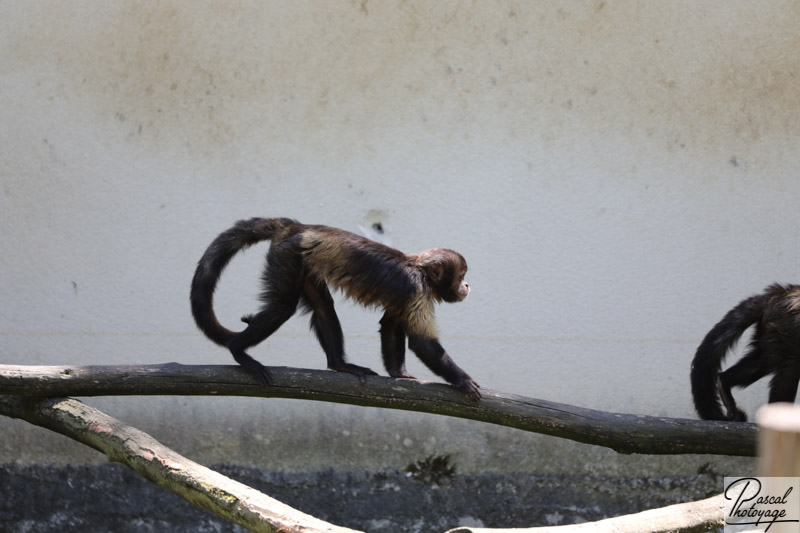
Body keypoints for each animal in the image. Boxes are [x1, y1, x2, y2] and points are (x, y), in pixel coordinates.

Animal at [192, 216, 482, 400]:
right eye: (461, 275)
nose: (467, 285)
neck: (420, 270)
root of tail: (297, 227)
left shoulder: (409, 296)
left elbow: (390, 324)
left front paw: (398, 373)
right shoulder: (417, 291)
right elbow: (423, 344)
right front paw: (463, 380)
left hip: (302, 260)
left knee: (323, 307)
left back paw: (339, 364)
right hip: (287, 254)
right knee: (283, 308)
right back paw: (238, 350)